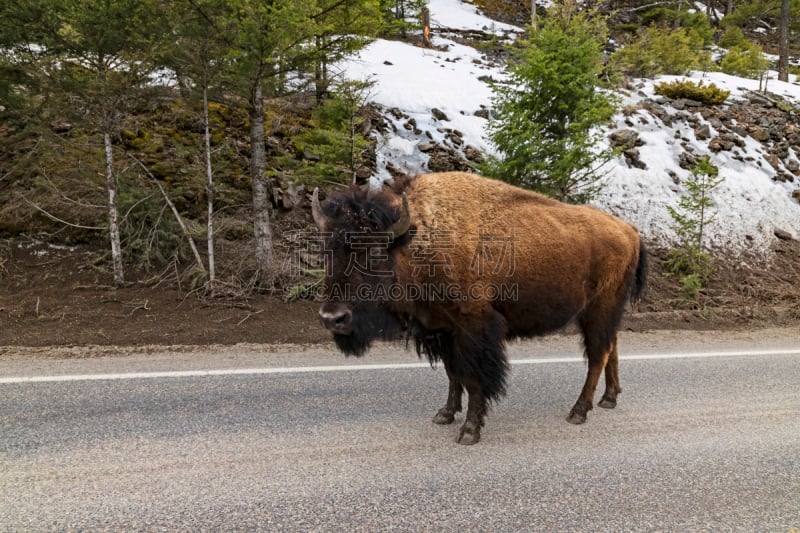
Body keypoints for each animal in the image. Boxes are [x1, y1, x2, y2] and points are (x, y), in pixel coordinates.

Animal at [310, 171, 648, 444]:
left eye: (375, 253)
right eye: (327, 250)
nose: (332, 318)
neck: (418, 239)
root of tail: (629, 230)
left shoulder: (473, 327)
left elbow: (473, 378)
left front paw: (469, 431)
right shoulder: (441, 328)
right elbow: (452, 374)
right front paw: (445, 414)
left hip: (599, 308)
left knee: (597, 355)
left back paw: (579, 411)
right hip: (605, 312)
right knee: (611, 347)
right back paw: (609, 398)